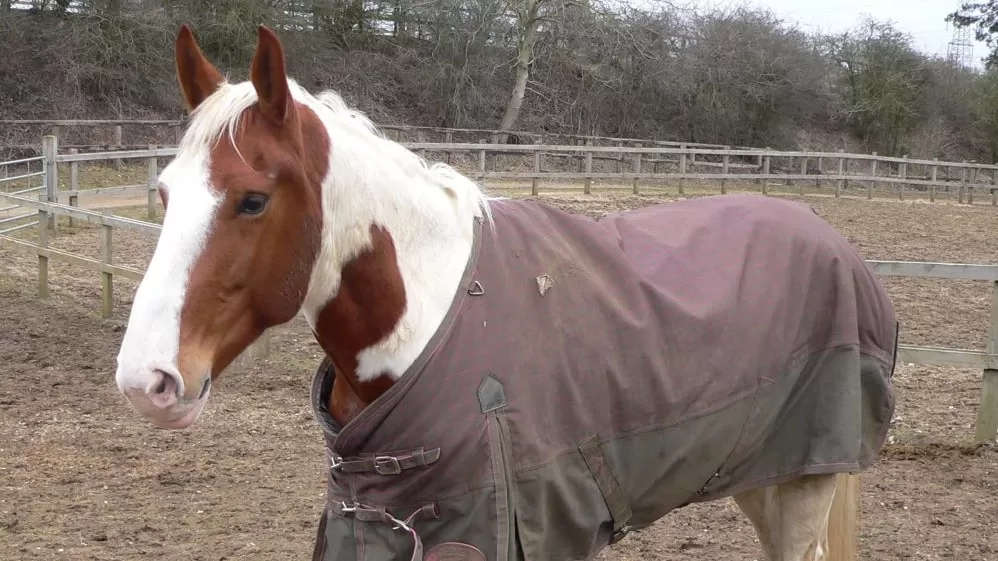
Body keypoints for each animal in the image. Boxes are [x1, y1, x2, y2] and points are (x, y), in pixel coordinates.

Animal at [115, 23, 900, 560]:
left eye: (251, 200)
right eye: (164, 192)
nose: (144, 381)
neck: (433, 324)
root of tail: (833, 241)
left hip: (806, 479)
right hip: (761, 475)